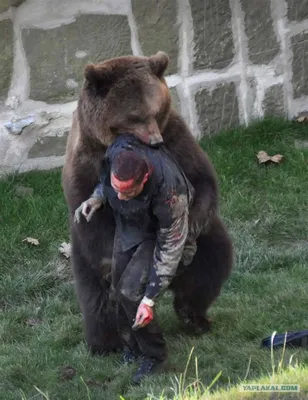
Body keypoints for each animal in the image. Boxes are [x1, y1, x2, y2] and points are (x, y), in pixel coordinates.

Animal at [61, 51, 232, 354]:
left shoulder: (175, 137)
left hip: (208, 243)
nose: (154, 141)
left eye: (155, 110)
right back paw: (106, 342)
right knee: (97, 298)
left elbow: (201, 179)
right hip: (82, 256)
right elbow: (93, 216)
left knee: (211, 264)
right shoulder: (86, 161)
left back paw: (193, 316)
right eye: (134, 116)